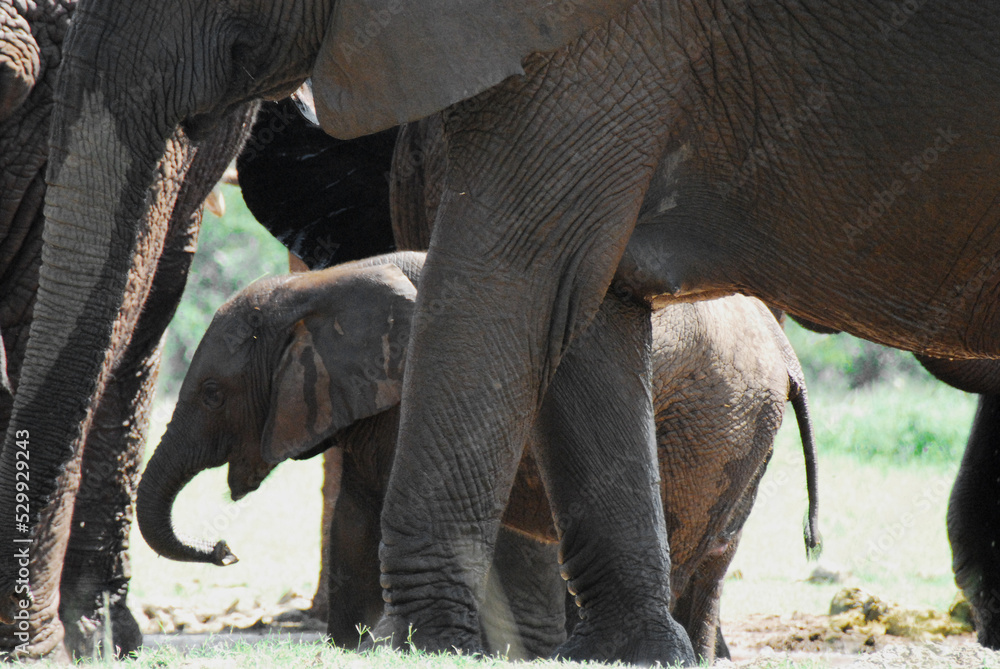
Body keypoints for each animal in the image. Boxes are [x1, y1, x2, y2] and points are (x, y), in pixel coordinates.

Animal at [135, 250, 820, 663]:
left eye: (212, 393)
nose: (225, 550)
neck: (317, 286)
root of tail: (789, 358)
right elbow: (355, 517)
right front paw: (354, 649)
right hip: (741, 427)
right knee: (714, 558)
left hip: (712, 421)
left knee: (686, 540)